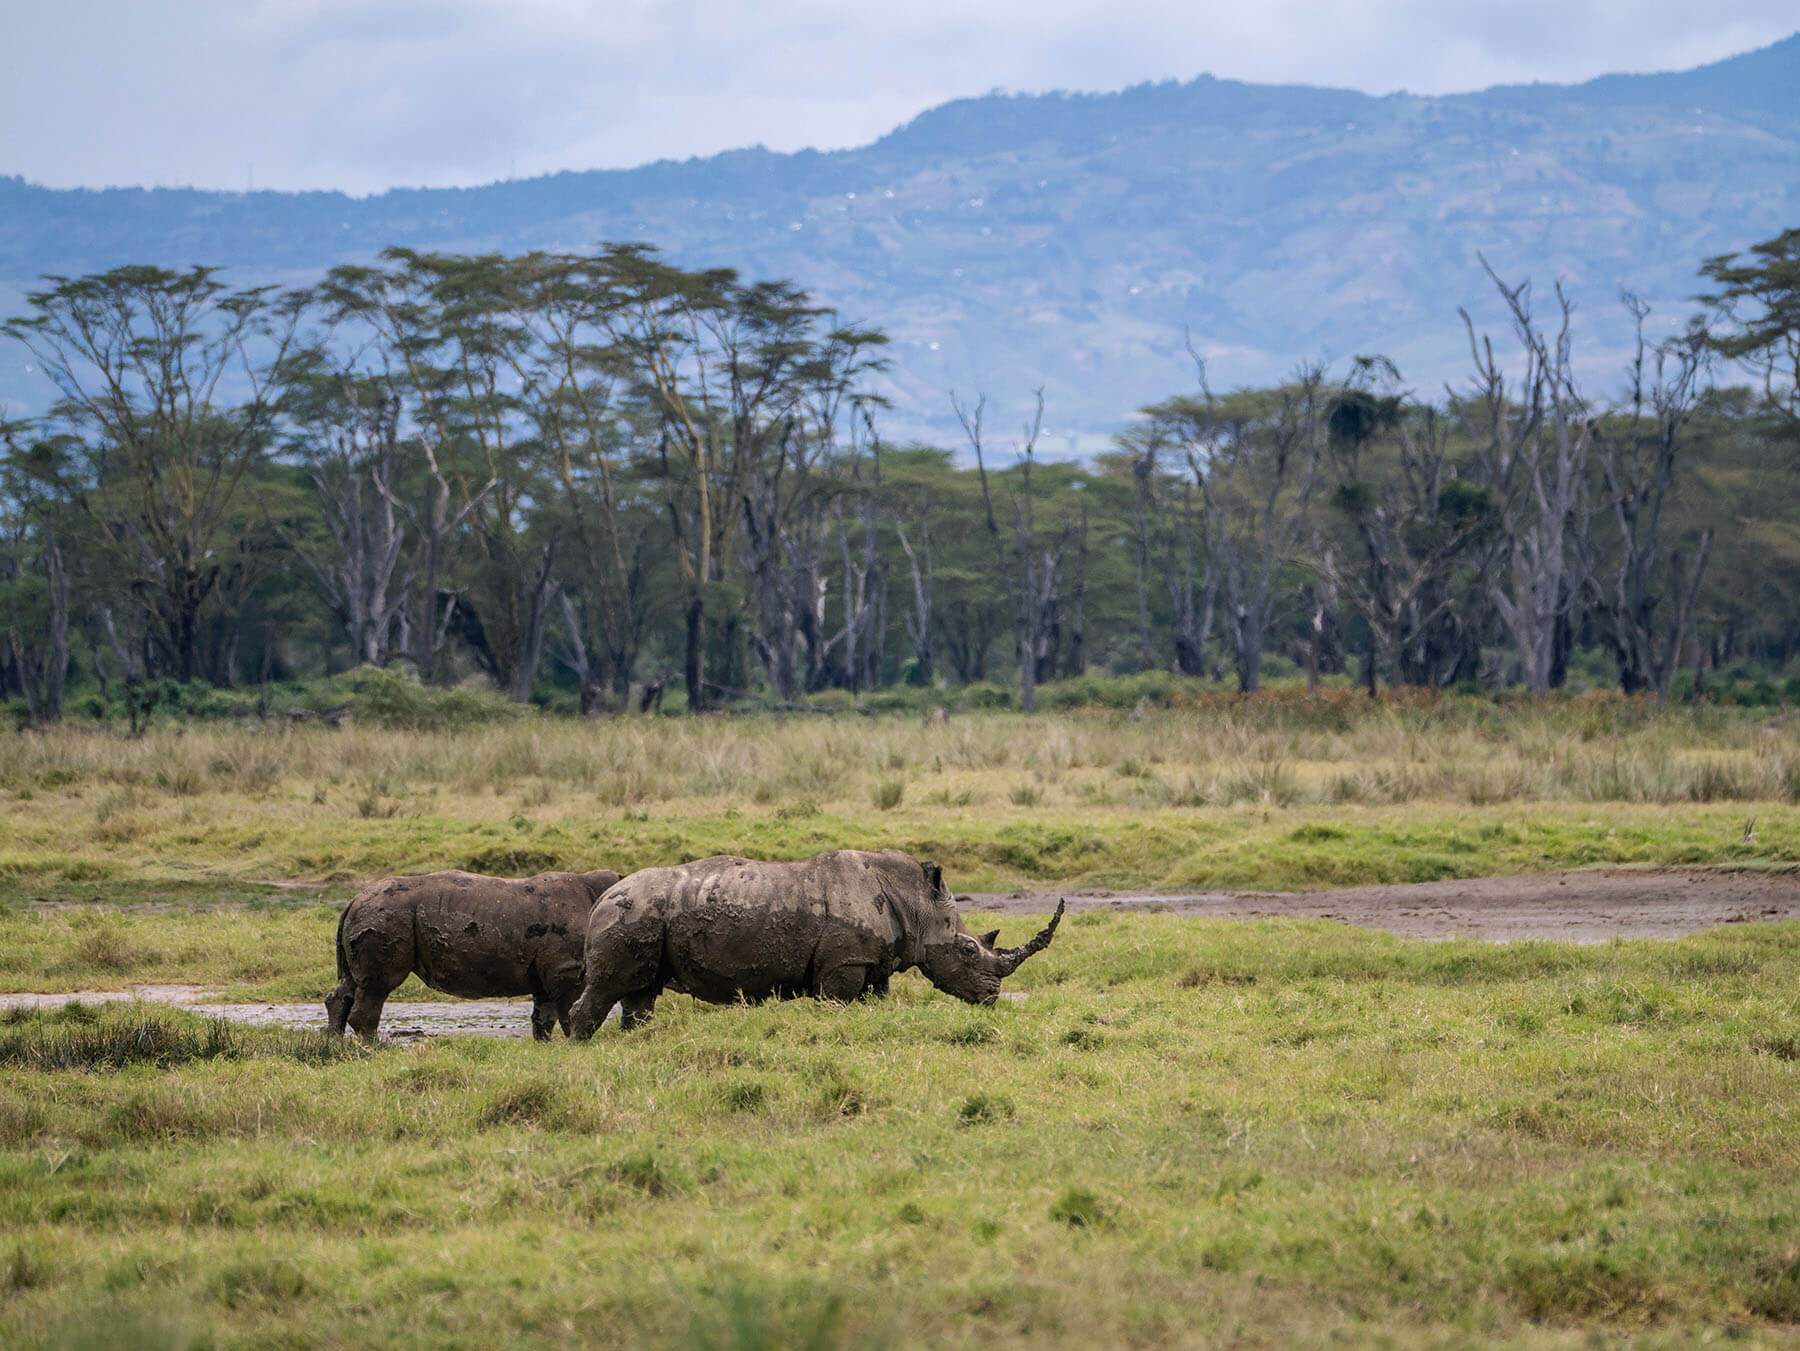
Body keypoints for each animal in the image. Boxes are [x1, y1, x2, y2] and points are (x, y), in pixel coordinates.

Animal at [326, 868, 621, 1039]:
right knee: (378, 986)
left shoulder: (549, 972)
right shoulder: (566, 968)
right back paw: (375, 1048)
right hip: (384, 916)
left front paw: (545, 1047)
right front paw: (573, 1041)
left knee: (352, 984)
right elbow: (569, 1009)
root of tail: (354, 899)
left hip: (373, 915)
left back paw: (335, 1045)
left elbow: (543, 1017)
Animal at [568, 849, 1062, 1036]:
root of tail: (601, 899)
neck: (917, 903)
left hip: (644, 915)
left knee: (641, 992)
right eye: (967, 949)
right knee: (611, 987)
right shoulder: (844, 963)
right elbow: (835, 1005)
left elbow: (874, 999)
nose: (992, 996)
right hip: (630, 913)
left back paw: (636, 1040)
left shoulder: (870, 962)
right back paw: (582, 1047)